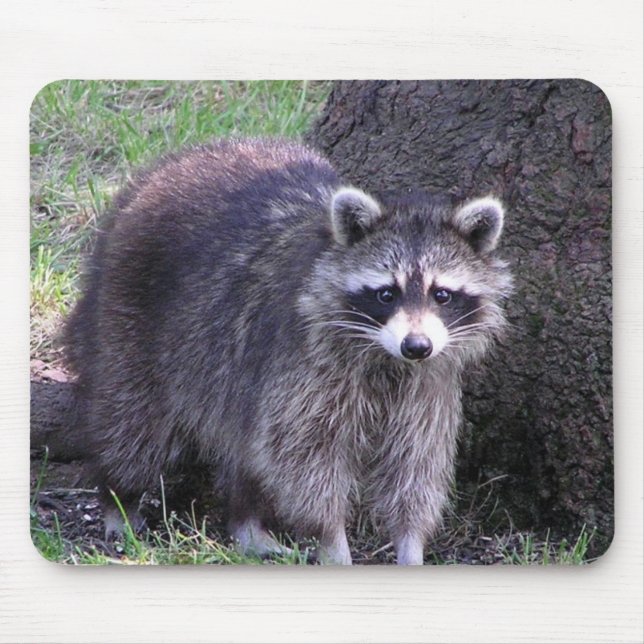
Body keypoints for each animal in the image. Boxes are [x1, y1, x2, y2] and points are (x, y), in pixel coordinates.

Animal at [64, 137, 512, 565]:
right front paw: (333, 542)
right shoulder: (304, 365)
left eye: (442, 294)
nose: (416, 346)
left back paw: (246, 523)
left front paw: (411, 543)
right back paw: (119, 498)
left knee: (247, 450)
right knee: (132, 424)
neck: (384, 357)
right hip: (129, 319)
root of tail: (163, 170)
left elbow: (417, 464)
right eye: (387, 294)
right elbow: (303, 459)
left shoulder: (427, 384)